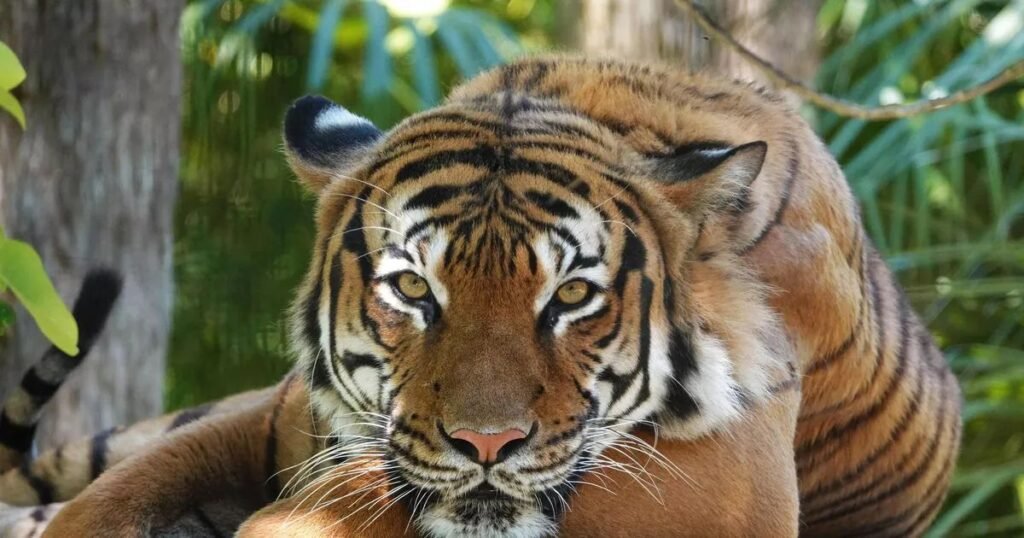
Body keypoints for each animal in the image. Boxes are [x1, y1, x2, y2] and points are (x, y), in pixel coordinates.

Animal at [0, 55, 961, 538]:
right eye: (412, 289)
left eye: (572, 295)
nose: (487, 444)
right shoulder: (281, 422)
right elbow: (111, 498)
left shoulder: (720, 483)